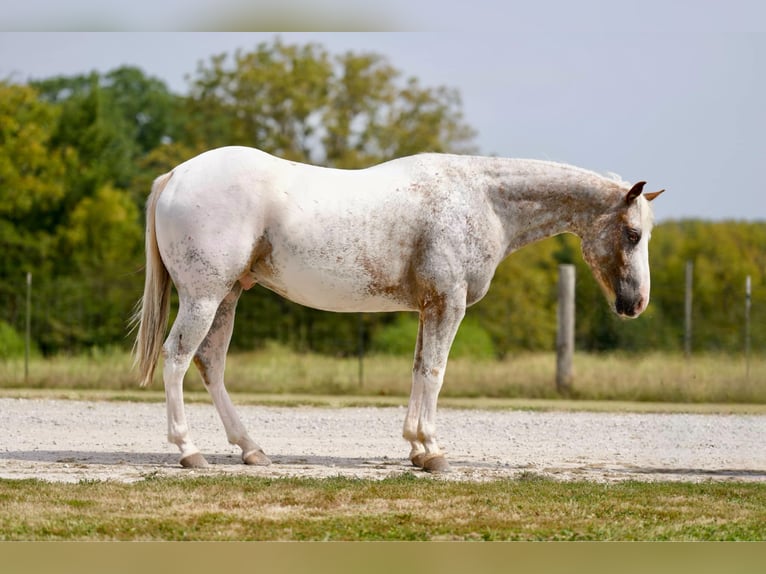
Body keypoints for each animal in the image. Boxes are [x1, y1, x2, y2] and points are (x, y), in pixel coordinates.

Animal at [133, 146, 663, 472]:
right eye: (633, 234)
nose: (635, 304)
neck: (481, 200)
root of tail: (176, 175)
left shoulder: (429, 308)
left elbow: (417, 370)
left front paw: (416, 448)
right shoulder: (448, 304)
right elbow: (435, 372)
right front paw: (434, 451)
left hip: (227, 296)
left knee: (210, 364)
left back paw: (251, 450)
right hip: (203, 297)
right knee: (177, 359)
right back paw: (189, 451)